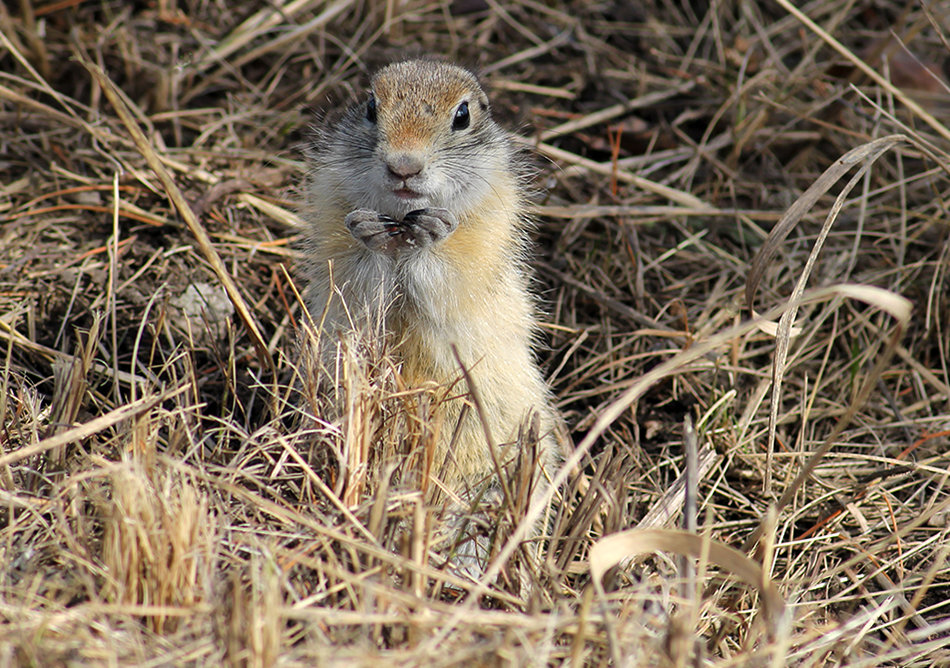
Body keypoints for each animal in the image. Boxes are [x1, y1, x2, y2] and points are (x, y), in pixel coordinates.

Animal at [302, 60, 560, 512]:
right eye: (370, 107)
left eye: (463, 115)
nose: (404, 166)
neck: (402, 232)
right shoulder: (333, 223)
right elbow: (358, 287)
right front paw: (368, 232)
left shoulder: (485, 238)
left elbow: (450, 280)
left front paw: (434, 232)